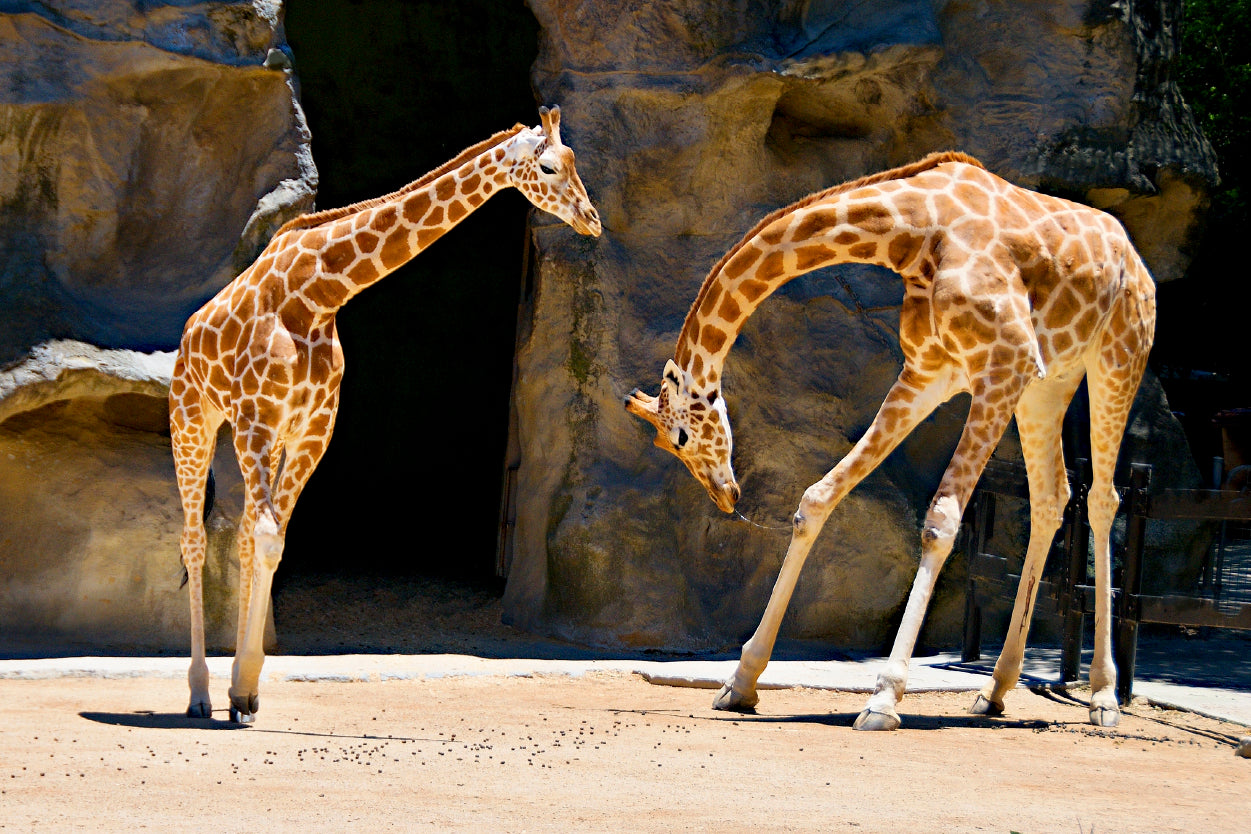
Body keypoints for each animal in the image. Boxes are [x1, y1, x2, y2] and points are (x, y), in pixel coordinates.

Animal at [170, 106, 600, 722]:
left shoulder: (309, 428)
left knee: (248, 533)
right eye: (547, 166)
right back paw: (199, 693)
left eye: (573, 161)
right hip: (193, 418)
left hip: (262, 437)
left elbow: (271, 538)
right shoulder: (255, 418)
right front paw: (240, 690)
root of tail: (187, 332)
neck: (318, 294)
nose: (592, 220)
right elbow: (266, 537)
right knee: (195, 539)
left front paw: (246, 692)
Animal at [627, 151, 1155, 730]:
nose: (726, 496)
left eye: (680, 436)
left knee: (1102, 498)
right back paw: (994, 690)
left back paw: (1103, 697)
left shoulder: (1004, 361)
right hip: (1049, 383)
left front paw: (883, 698)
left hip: (1116, 359)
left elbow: (940, 522)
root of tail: (1136, 257)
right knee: (1052, 495)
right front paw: (740, 683)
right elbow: (817, 497)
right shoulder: (930, 371)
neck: (915, 232)